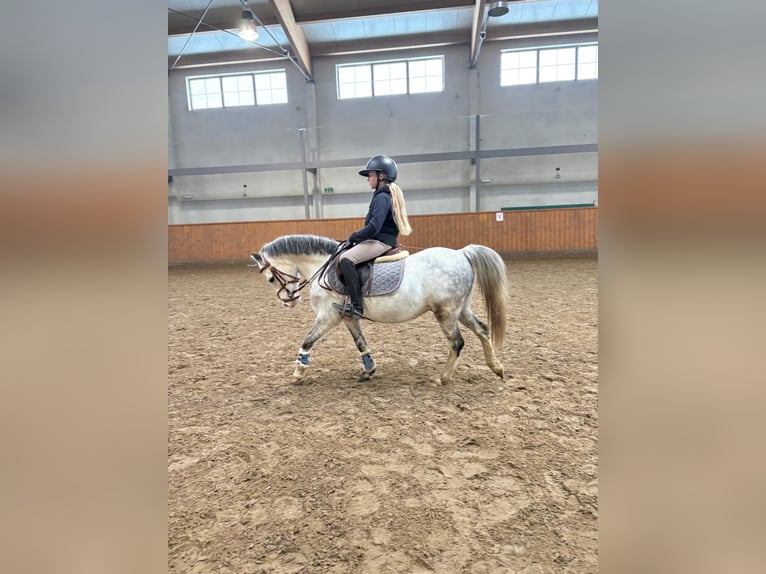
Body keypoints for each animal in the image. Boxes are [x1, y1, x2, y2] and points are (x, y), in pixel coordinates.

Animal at [249, 234, 510, 385]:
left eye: (271, 279)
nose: (289, 301)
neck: (322, 267)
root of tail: (461, 253)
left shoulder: (327, 317)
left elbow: (307, 341)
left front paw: (298, 373)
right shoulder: (348, 318)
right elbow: (361, 343)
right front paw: (368, 371)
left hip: (445, 313)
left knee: (457, 342)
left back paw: (442, 378)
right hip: (461, 310)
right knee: (482, 330)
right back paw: (496, 368)